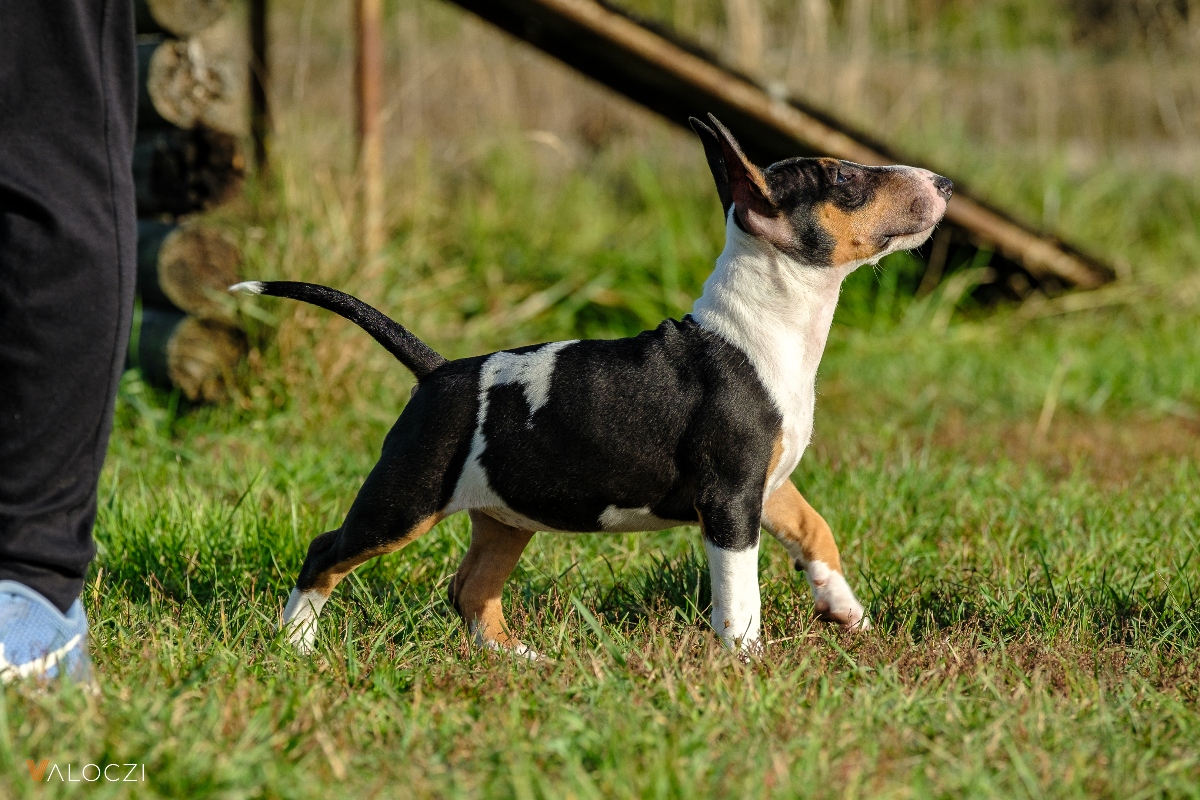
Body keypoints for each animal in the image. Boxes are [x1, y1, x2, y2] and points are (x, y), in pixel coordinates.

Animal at [231, 118, 945, 657]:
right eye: (843, 178)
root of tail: (436, 369)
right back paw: (296, 644)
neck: (761, 327)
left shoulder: (766, 485)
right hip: (405, 498)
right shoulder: (730, 497)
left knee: (471, 587)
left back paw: (518, 657)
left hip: (503, 518)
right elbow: (740, 592)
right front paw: (747, 661)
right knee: (328, 550)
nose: (942, 181)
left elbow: (814, 528)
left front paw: (846, 609)